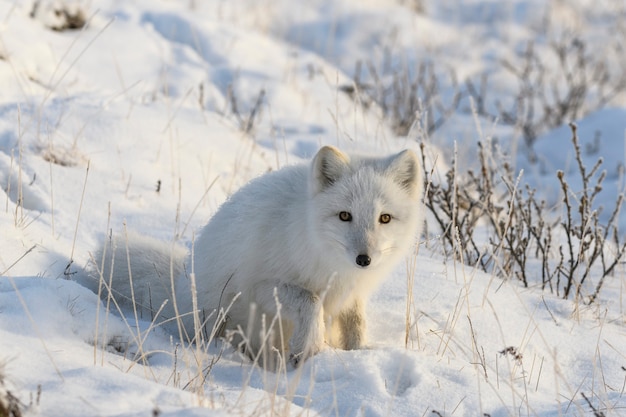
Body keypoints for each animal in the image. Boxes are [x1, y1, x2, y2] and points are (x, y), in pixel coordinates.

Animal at [91, 145, 424, 368]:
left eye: (384, 218)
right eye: (345, 215)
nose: (364, 259)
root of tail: (182, 281)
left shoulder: (353, 295)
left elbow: (356, 325)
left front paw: (360, 353)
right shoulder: (261, 286)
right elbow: (311, 301)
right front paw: (307, 346)